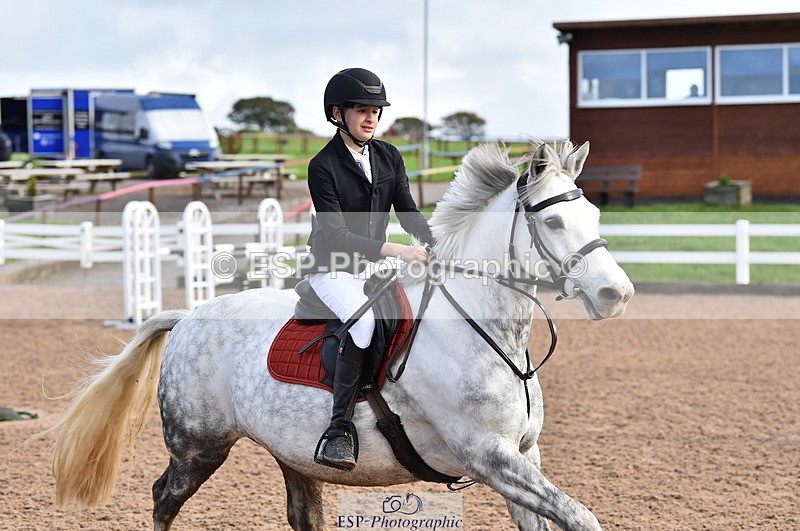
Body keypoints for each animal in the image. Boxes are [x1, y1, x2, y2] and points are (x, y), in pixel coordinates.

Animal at [49, 140, 634, 531]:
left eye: (594, 212)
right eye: (553, 224)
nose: (617, 293)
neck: (486, 330)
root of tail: (189, 316)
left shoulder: (524, 455)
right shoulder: (489, 456)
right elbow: (582, 516)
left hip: (289, 452)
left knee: (301, 514)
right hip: (199, 446)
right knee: (163, 499)